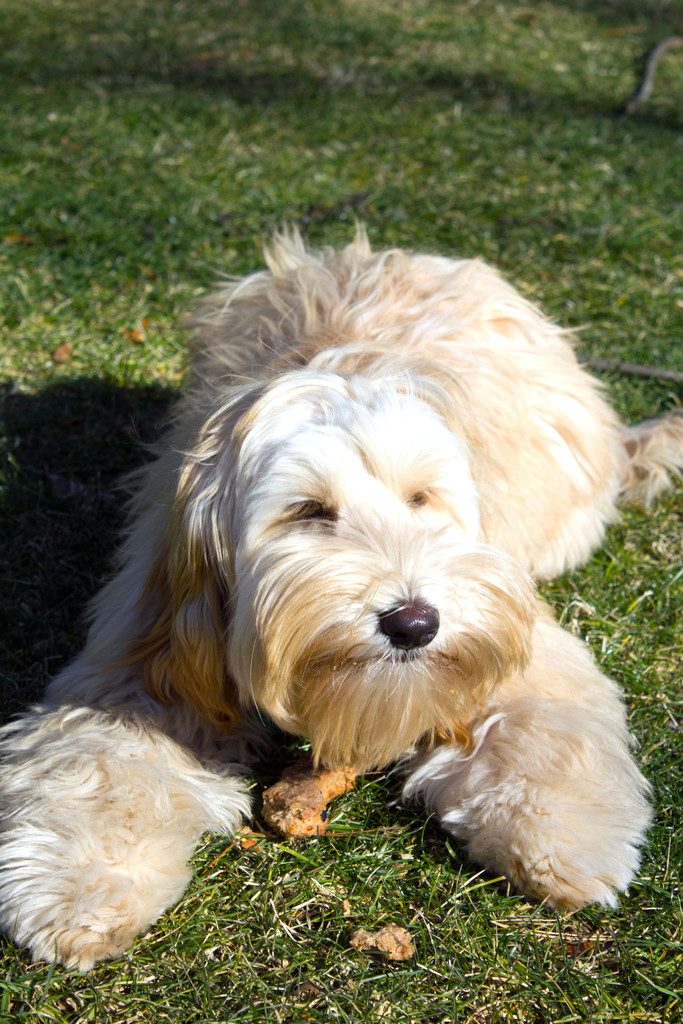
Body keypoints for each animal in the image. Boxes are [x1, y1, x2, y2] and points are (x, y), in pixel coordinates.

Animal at [1, 230, 683, 966]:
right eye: (308, 511)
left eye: (421, 499)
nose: (413, 623)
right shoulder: (151, 647)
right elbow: (100, 764)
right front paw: (80, 888)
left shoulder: (509, 624)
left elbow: (542, 724)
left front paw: (563, 836)